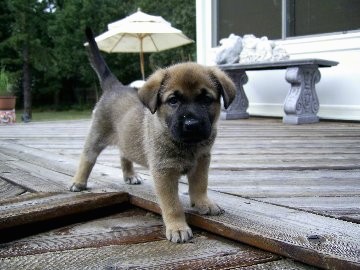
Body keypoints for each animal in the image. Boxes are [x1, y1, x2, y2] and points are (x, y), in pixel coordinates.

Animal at [70, 28, 236, 244]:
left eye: (206, 99)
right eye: (173, 100)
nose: (191, 125)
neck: (185, 145)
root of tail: (115, 87)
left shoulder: (201, 161)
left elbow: (200, 186)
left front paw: (203, 203)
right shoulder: (164, 173)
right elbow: (172, 204)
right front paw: (177, 227)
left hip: (125, 139)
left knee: (124, 154)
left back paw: (130, 175)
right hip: (97, 136)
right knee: (87, 158)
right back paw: (79, 182)